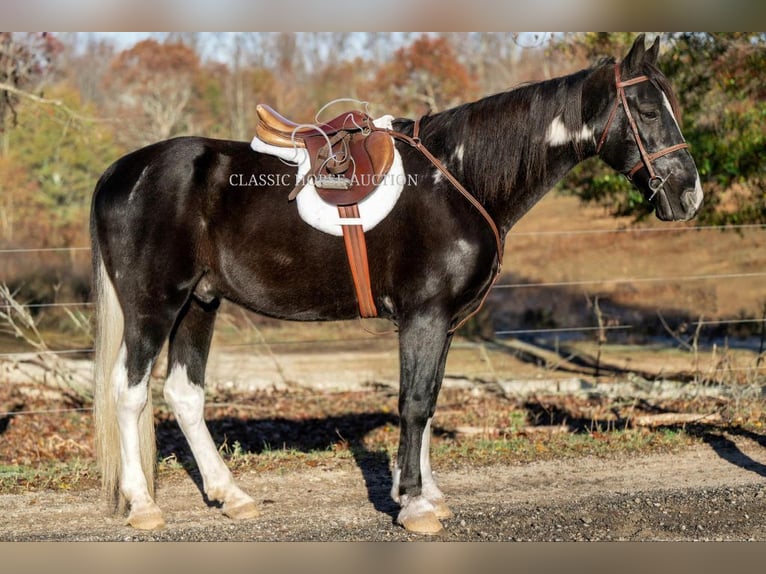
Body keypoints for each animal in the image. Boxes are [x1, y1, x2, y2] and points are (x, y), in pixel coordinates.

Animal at [90, 35, 704, 536]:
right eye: (647, 108)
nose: (690, 193)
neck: (455, 180)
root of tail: (121, 172)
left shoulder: (444, 321)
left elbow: (428, 401)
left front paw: (429, 494)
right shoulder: (423, 315)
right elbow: (412, 403)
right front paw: (412, 504)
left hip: (200, 302)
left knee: (184, 394)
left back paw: (232, 496)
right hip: (155, 306)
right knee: (131, 391)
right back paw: (143, 505)